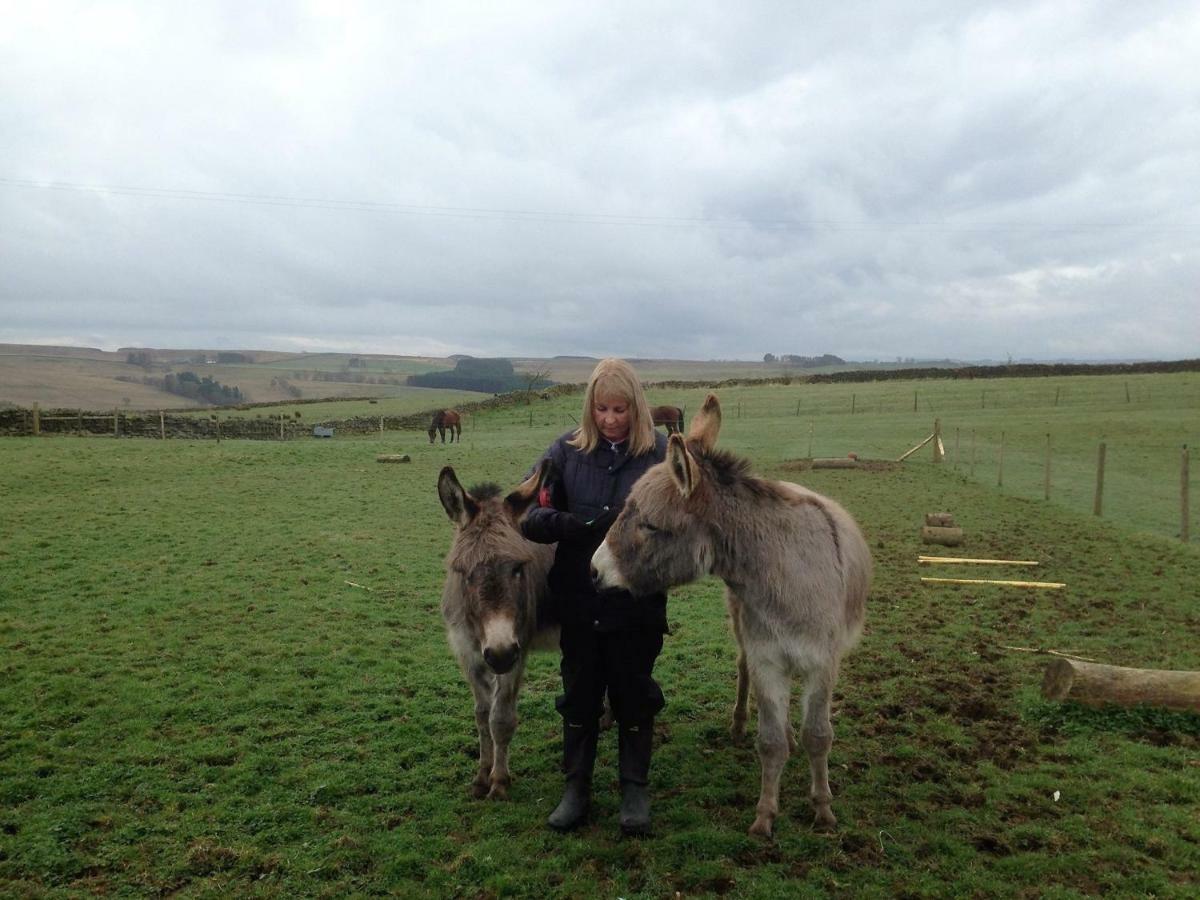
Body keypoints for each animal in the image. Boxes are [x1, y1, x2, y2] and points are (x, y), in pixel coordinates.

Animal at [436, 460, 556, 801]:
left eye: (518, 569)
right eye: (463, 573)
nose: (500, 654)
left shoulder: (518, 648)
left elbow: (500, 718)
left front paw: (500, 781)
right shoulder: (467, 651)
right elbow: (480, 715)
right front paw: (480, 778)